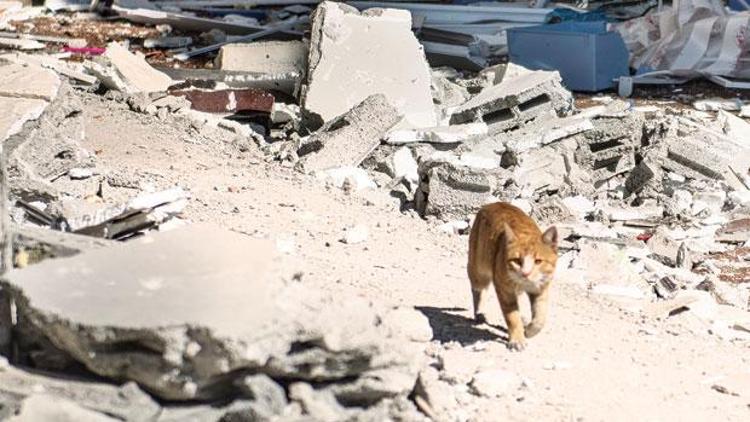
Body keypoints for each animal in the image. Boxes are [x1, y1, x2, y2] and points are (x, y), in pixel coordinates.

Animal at [470, 203, 560, 352]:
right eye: (517, 261)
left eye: (538, 261)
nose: (525, 273)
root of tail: (492, 204)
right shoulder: (505, 290)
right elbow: (512, 316)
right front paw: (517, 339)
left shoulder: (541, 289)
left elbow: (540, 318)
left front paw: (529, 330)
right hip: (478, 270)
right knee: (478, 290)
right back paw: (479, 313)